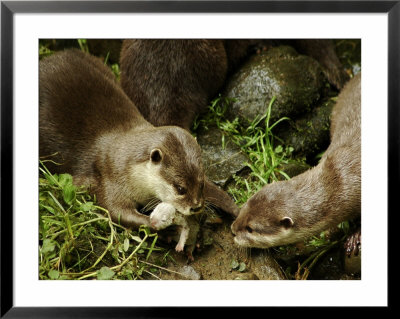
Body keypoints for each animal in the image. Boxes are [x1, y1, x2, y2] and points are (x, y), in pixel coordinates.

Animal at [39, 49, 238, 230]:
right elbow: (116, 211)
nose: (196, 207)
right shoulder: (109, 178)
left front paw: (234, 207)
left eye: (201, 184)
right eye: (180, 188)